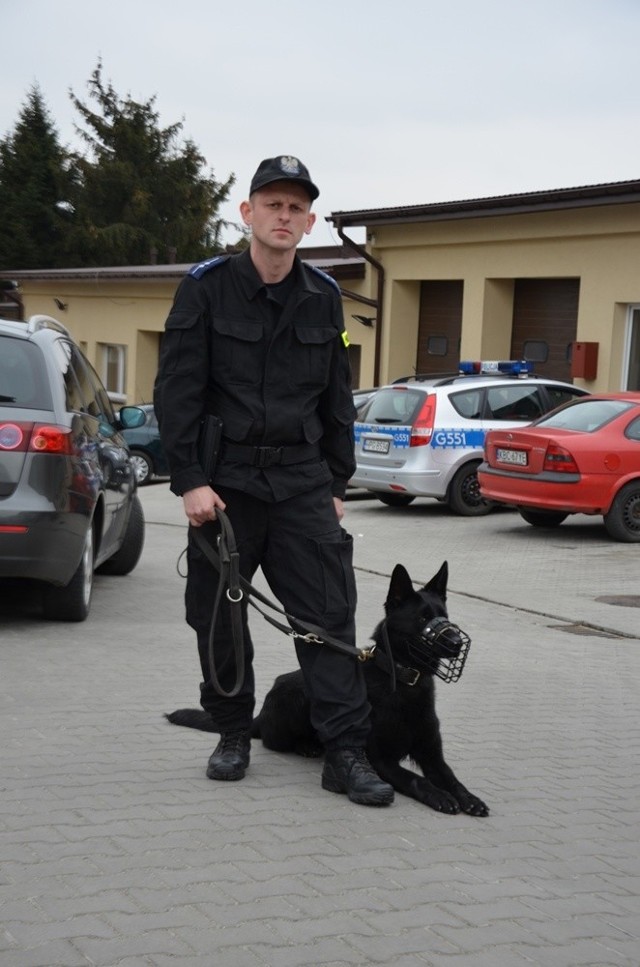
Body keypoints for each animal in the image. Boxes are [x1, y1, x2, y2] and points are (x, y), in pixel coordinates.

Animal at [166, 560, 490, 816]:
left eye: (445, 616)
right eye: (423, 618)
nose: (456, 642)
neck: (404, 681)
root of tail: (262, 712)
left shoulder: (433, 756)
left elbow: (451, 778)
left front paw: (468, 798)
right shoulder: (381, 760)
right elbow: (416, 779)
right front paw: (439, 795)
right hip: (294, 699)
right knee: (273, 741)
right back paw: (307, 745)